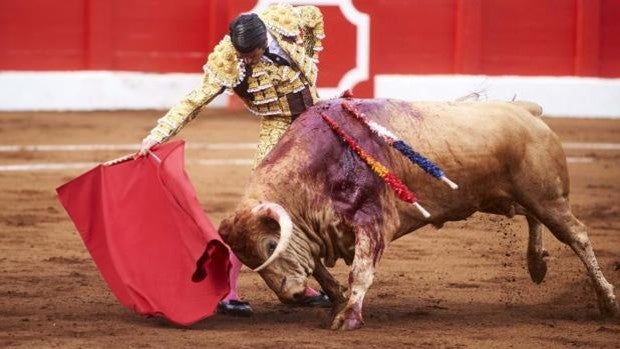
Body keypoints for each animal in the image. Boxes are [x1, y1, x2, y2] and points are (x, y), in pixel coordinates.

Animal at [217, 98, 616, 328]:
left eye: (270, 247)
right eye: (249, 261)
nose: (293, 296)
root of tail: (527, 112)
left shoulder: (374, 222)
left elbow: (361, 271)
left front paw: (348, 317)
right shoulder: (312, 233)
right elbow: (320, 269)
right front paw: (338, 302)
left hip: (546, 195)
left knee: (576, 234)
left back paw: (607, 302)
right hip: (506, 195)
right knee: (532, 217)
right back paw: (537, 264)